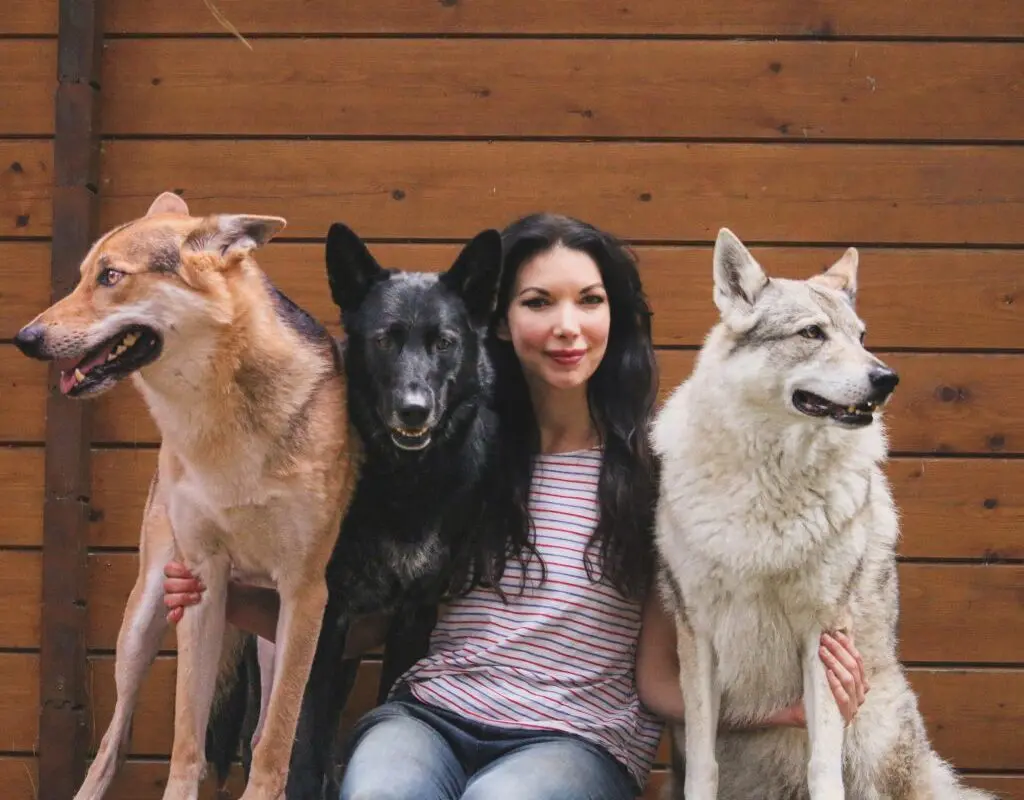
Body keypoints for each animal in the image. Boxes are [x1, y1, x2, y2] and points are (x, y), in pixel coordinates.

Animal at [13, 192, 358, 800]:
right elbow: (185, 743)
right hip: (142, 621)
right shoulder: (202, 578)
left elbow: (274, 744)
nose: (25, 339)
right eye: (80, 277)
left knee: (259, 729)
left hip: (270, 635)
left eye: (110, 276)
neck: (220, 425)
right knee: (113, 742)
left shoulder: (305, 592)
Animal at [221, 221, 505, 798]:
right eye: (385, 340)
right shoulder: (322, 620)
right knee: (259, 736)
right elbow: (302, 745)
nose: (414, 410)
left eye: (445, 342)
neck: (401, 483)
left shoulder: (413, 616)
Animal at [651, 229, 993, 800]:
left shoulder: (824, 637)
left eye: (861, 335)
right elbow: (703, 767)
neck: (771, 479)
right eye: (812, 332)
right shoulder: (697, 636)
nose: (887, 378)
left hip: (874, 736)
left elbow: (823, 768)